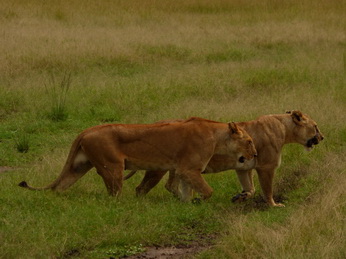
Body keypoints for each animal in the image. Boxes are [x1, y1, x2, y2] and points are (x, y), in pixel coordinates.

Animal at [18, 118, 256, 201]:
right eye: (249, 141)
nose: (255, 155)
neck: (217, 136)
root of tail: (87, 130)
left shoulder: (183, 170)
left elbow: (185, 190)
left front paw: (186, 204)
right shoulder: (188, 168)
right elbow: (207, 191)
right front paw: (197, 202)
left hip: (78, 166)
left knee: (59, 187)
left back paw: (57, 201)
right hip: (113, 167)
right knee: (114, 194)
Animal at [127, 111, 324, 207]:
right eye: (315, 126)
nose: (322, 138)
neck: (283, 128)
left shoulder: (243, 168)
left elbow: (251, 188)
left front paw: (240, 197)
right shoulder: (266, 167)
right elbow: (267, 190)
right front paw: (274, 205)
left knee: (170, 186)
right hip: (157, 168)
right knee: (140, 188)